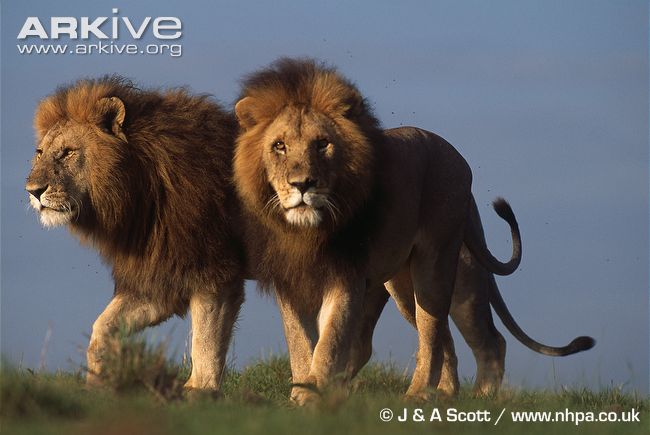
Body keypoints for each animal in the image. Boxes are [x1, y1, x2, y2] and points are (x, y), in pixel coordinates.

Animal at [25, 76, 245, 393]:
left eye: (68, 152)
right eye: (40, 153)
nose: (33, 191)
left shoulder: (212, 270)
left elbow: (206, 341)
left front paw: (199, 391)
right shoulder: (156, 277)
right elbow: (102, 328)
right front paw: (98, 386)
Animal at [233, 58, 594, 403]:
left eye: (323, 144)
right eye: (279, 146)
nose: (302, 184)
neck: (309, 232)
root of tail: (456, 156)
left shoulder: (346, 278)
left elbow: (330, 341)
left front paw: (312, 394)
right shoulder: (291, 283)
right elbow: (300, 342)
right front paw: (301, 391)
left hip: (440, 268)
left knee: (465, 336)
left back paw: (449, 395)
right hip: (401, 286)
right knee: (431, 336)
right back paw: (443, 393)